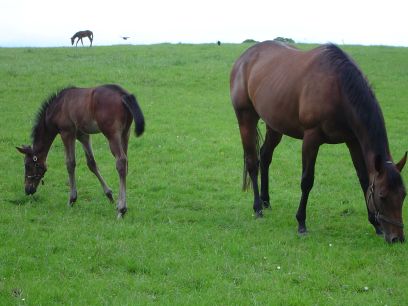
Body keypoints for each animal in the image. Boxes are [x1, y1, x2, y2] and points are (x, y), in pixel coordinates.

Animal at [17, 83, 145, 218]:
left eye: (28, 165)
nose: (28, 190)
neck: (56, 107)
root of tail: (123, 94)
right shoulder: (82, 134)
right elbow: (91, 163)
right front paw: (109, 195)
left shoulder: (67, 132)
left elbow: (70, 163)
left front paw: (72, 199)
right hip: (125, 133)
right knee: (125, 163)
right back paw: (120, 205)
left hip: (112, 134)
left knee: (120, 162)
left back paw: (121, 209)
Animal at [231, 40, 406, 243]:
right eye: (382, 196)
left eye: (403, 195)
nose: (397, 238)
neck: (338, 87)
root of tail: (244, 58)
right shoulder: (311, 138)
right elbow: (307, 180)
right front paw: (301, 222)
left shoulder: (353, 141)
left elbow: (363, 178)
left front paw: (375, 225)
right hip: (246, 118)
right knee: (252, 162)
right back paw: (258, 207)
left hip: (274, 125)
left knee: (265, 156)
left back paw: (266, 201)